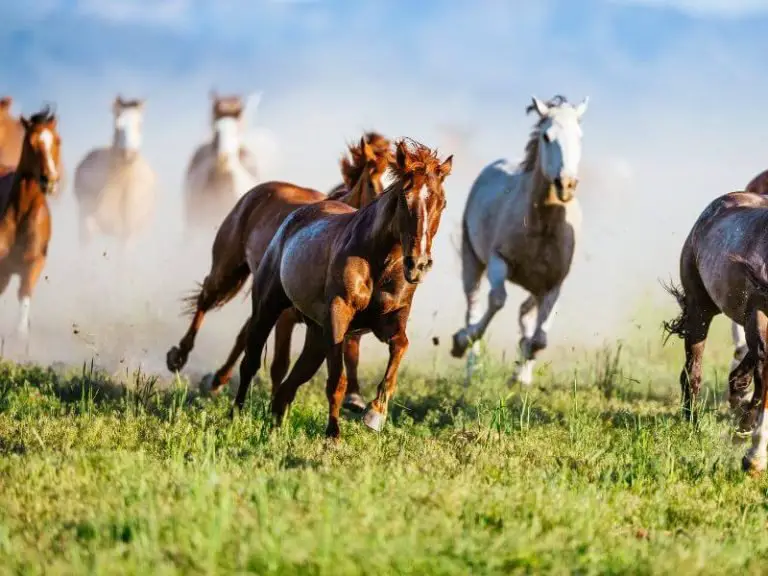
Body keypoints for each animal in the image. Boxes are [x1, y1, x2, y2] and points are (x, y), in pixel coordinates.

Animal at [166, 133, 393, 409]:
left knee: (244, 330)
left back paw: (218, 379)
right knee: (206, 299)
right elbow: (280, 364)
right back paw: (178, 357)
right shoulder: (287, 315)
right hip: (227, 269)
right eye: (371, 182)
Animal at [231, 138, 452, 439]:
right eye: (404, 198)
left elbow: (401, 346)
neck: (378, 261)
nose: (418, 264)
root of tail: (295, 216)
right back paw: (234, 415)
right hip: (268, 307)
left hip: (315, 333)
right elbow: (337, 381)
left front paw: (375, 414)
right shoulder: (338, 316)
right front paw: (333, 435)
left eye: (442, 203)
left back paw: (275, 425)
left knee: (291, 382)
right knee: (251, 361)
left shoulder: (390, 319)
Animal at [449, 94, 588, 386]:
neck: (542, 225)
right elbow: (497, 300)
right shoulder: (498, 260)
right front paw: (461, 341)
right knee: (473, 305)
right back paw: (470, 367)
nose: (566, 184)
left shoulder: (553, 284)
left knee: (526, 313)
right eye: (547, 136)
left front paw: (520, 376)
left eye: (579, 136)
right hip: (471, 259)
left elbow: (540, 338)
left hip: (534, 287)